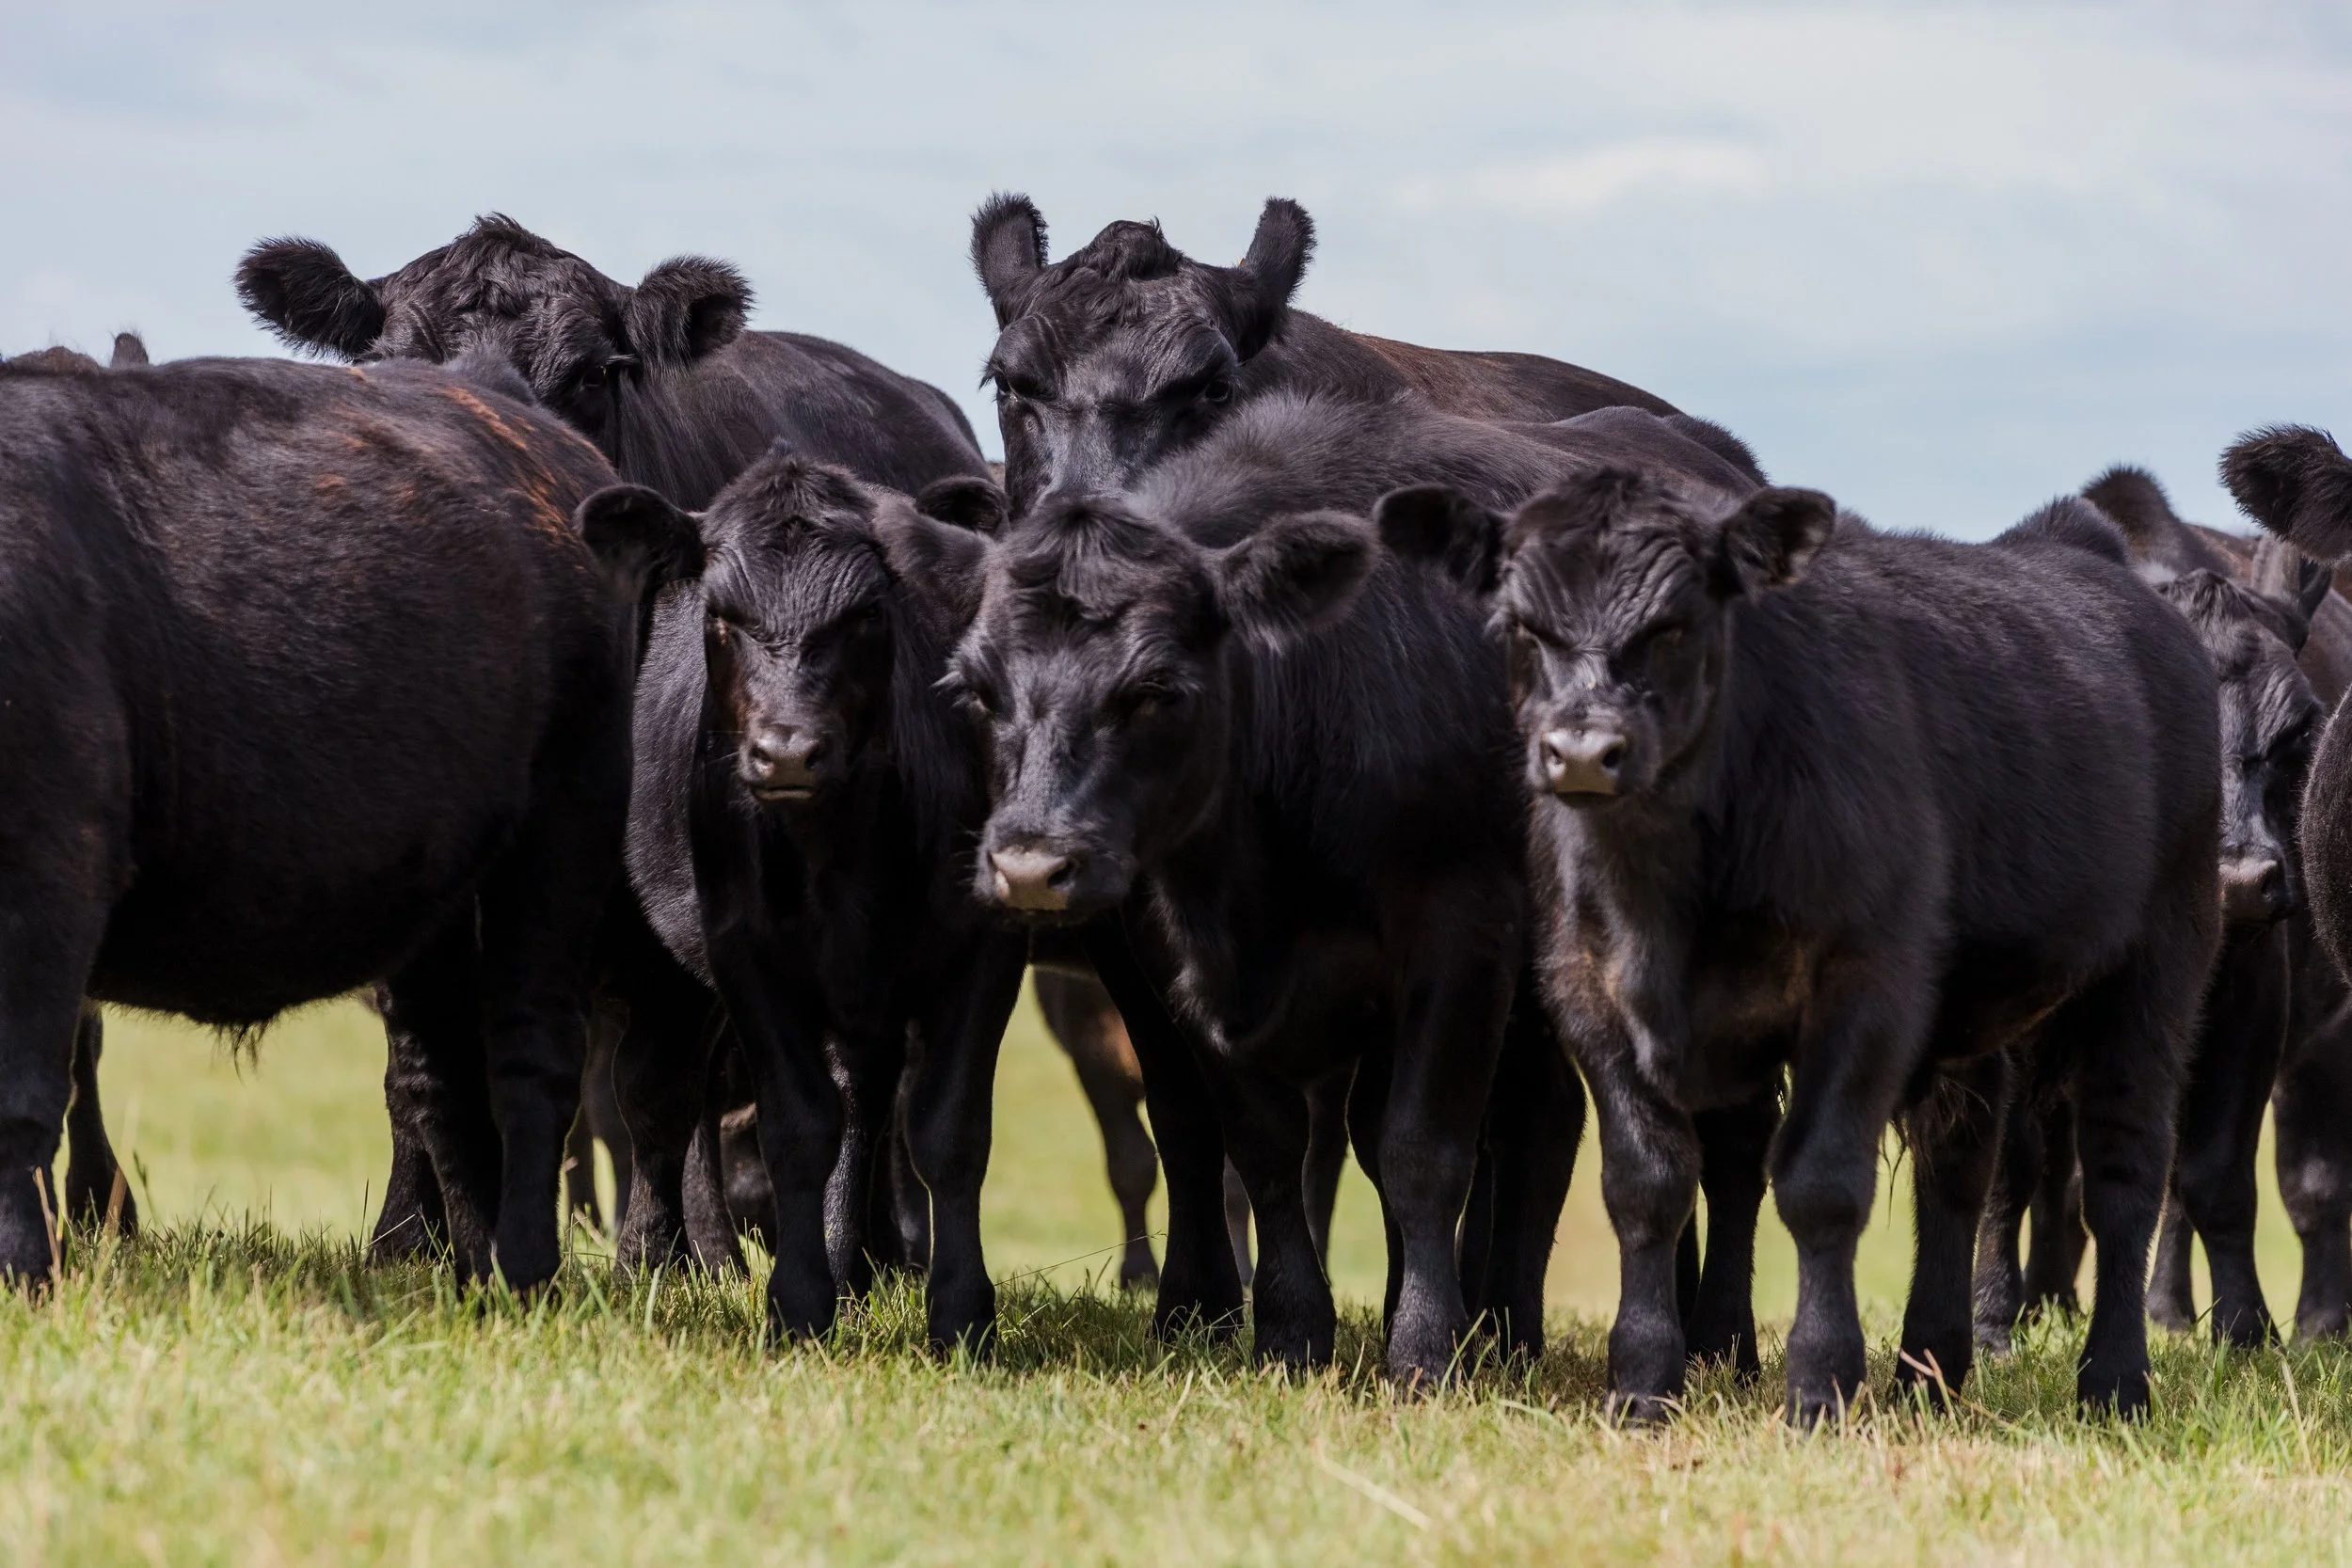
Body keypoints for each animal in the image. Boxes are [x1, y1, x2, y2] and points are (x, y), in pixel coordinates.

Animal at [0, 350, 672, 1290]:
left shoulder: (50, 870)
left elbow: (21, 1095)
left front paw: (22, 1275)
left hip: (563, 825)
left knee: (535, 1053)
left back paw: (526, 1266)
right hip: (442, 884)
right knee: (442, 1075)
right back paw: (470, 1269)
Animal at [1385, 470, 2220, 1420]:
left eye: (1677, 622)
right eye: (1523, 625)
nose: (1584, 752)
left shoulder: (1866, 987)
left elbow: (1820, 1184)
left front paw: (1821, 1385)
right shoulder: (1586, 994)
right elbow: (1646, 1183)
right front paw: (1642, 1385)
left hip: (2159, 964)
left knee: (2124, 1171)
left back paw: (2114, 1380)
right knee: (1960, 1165)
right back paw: (1930, 1369)